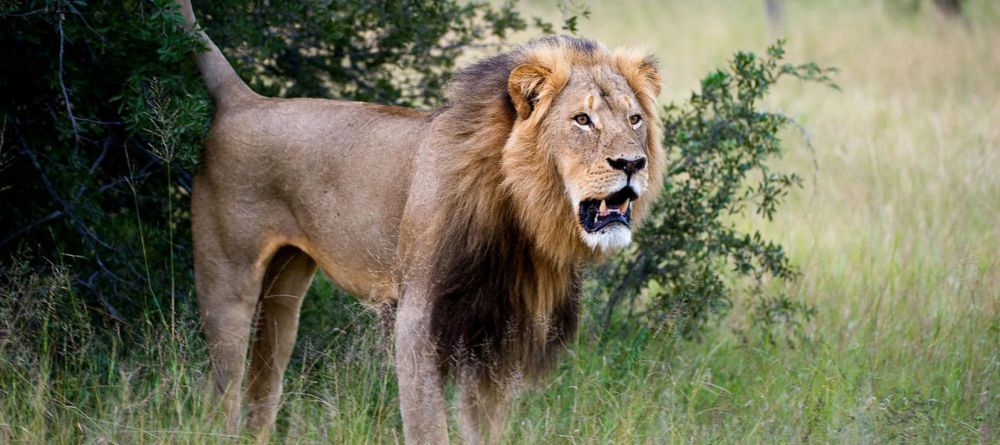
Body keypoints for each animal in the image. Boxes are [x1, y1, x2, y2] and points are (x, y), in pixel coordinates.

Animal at [176, 1, 664, 442]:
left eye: (634, 119)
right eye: (582, 120)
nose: (632, 163)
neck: (521, 216)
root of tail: (244, 99)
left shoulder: (498, 333)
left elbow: (485, 428)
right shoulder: (419, 321)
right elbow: (428, 426)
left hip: (285, 290)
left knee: (264, 385)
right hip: (227, 282)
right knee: (223, 392)